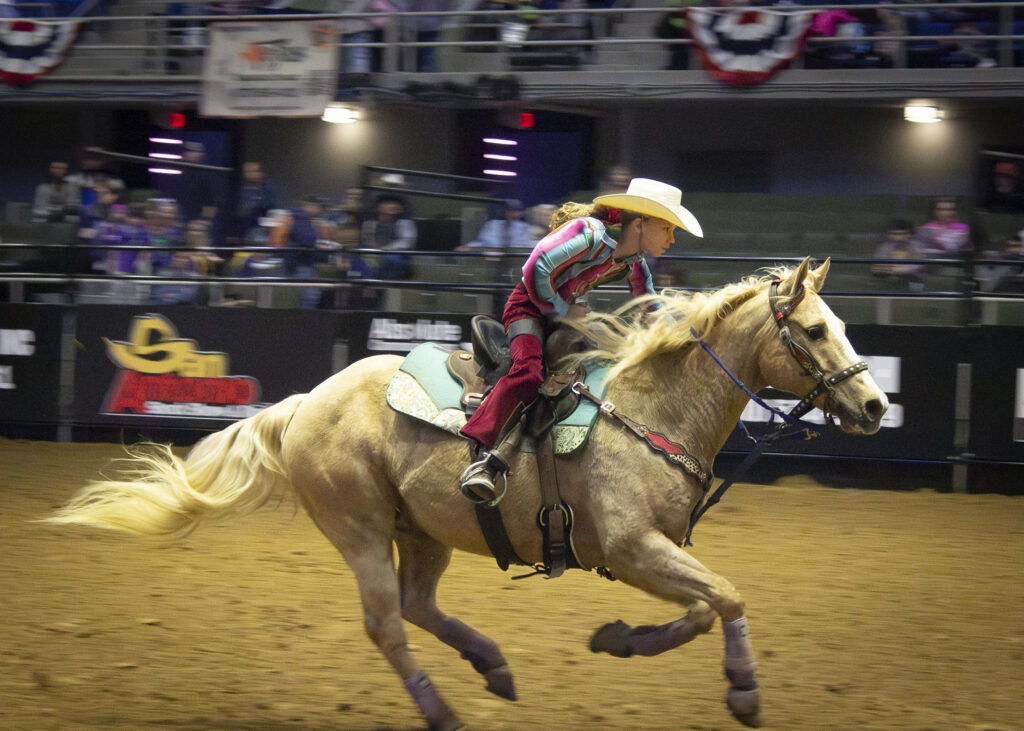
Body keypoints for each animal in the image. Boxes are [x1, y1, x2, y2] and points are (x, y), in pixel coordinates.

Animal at [48, 255, 888, 724]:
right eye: (815, 330)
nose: (876, 404)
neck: (651, 411)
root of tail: (305, 402)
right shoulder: (631, 547)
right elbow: (727, 597)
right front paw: (743, 691)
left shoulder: (646, 554)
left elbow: (704, 607)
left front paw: (620, 639)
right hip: (358, 530)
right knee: (387, 624)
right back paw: (444, 709)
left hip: (419, 528)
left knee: (419, 605)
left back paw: (495, 667)